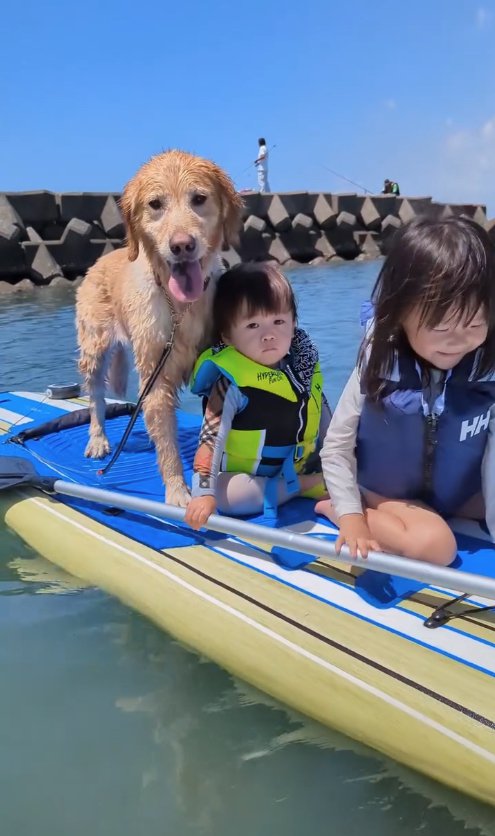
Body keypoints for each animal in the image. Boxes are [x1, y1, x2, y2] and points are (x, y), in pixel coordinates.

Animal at [75, 149, 242, 502]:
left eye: (199, 198)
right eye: (155, 204)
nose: (182, 245)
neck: (180, 308)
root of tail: (100, 259)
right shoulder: (156, 374)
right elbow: (166, 443)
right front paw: (178, 492)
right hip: (94, 345)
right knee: (95, 395)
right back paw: (97, 439)